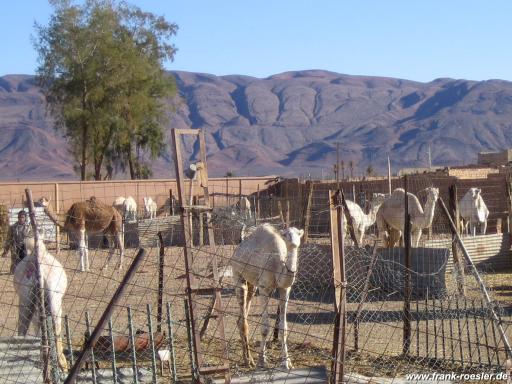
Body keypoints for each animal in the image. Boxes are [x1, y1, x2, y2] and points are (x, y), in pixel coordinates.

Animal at [230, 224, 302, 370]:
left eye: (298, 233)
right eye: (285, 234)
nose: (294, 243)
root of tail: (238, 248)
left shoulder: (285, 289)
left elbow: (283, 328)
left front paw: (286, 362)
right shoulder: (264, 288)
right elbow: (264, 328)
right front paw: (262, 361)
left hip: (252, 285)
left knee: (241, 319)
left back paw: (246, 359)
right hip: (238, 274)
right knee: (244, 321)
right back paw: (250, 361)